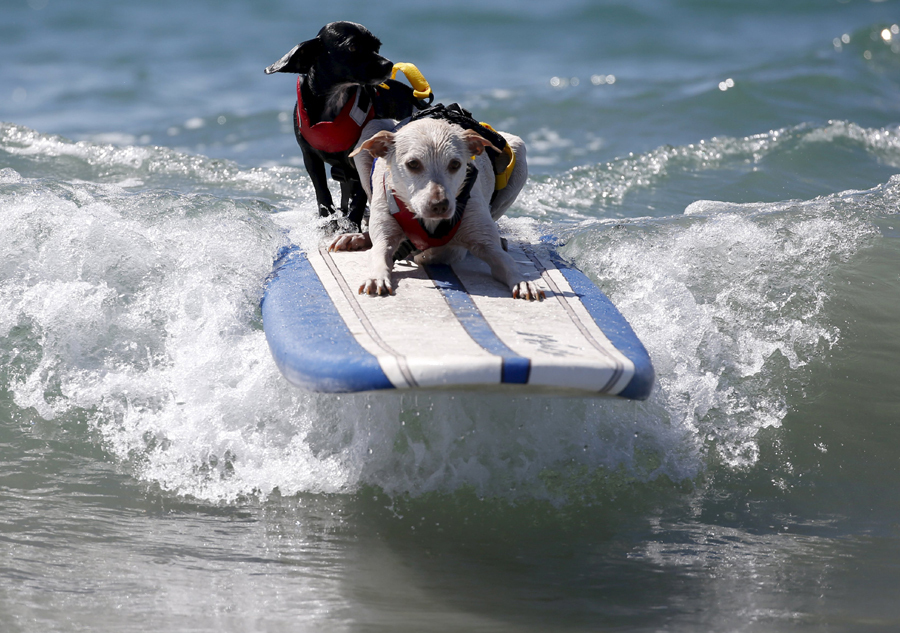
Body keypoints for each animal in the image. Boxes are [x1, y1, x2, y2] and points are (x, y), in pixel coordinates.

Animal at [266, 21, 428, 232]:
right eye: (352, 47)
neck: (335, 99)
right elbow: (322, 192)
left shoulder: (362, 157)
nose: (388, 64)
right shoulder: (310, 158)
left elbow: (359, 198)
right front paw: (327, 222)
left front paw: (350, 226)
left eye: (377, 47)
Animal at [330, 118, 540, 302]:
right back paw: (357, 237)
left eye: (455, 164)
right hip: (370, 132)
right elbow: (380, 251)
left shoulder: (483, 238)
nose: (440, 205)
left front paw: (523, 282)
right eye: (413, 163)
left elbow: (504, 261)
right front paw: (377, 278)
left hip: (518, 155)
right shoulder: (385, 229)